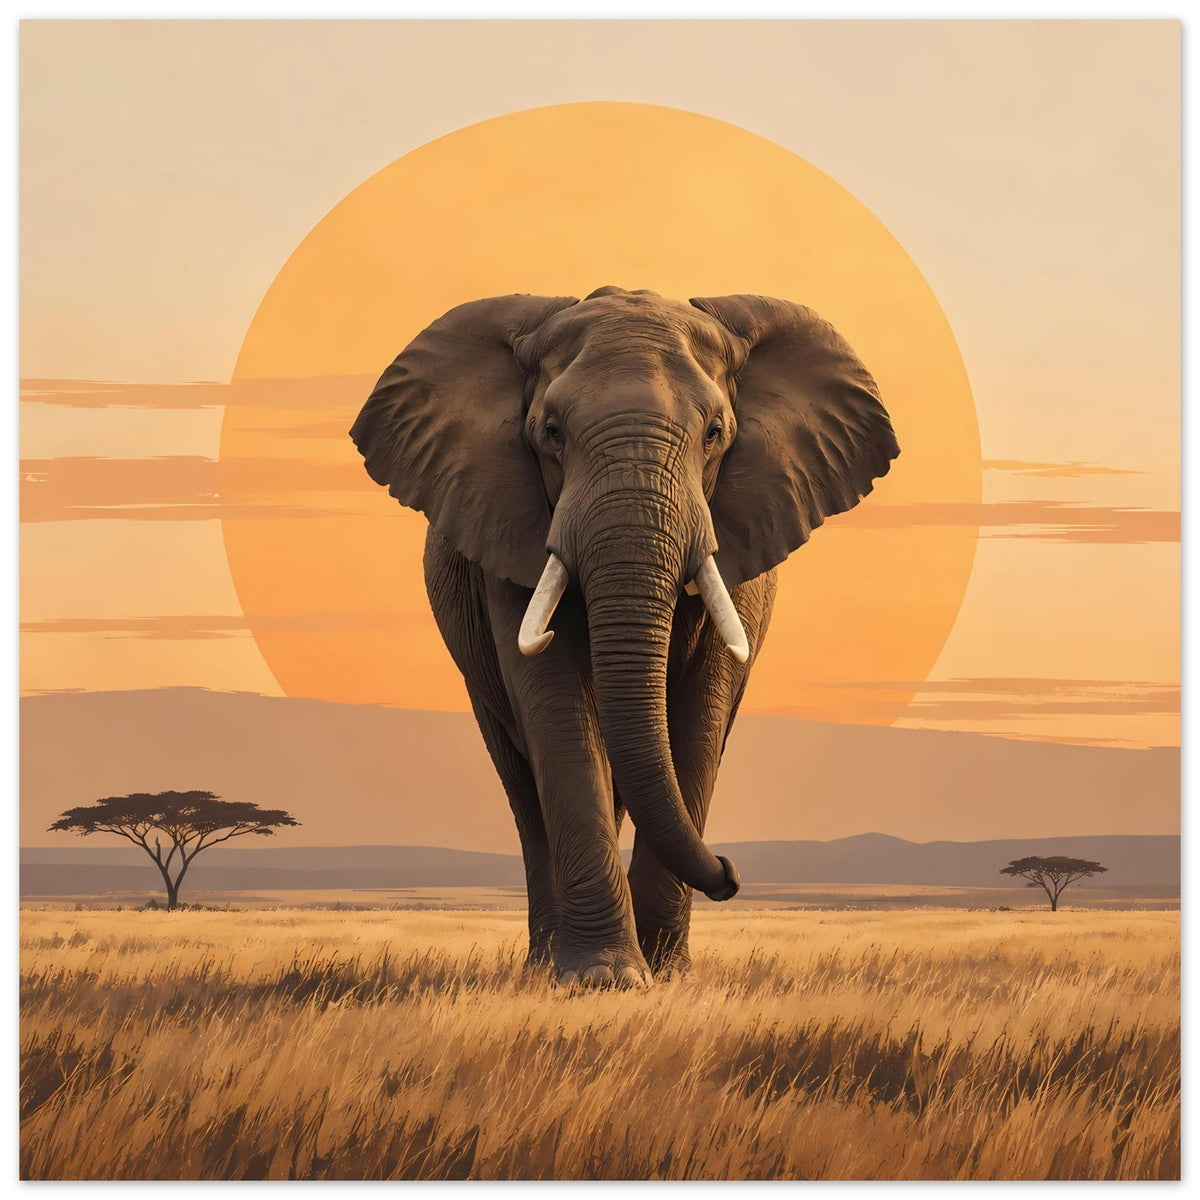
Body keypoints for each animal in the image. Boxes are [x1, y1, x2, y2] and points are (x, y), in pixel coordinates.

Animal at [350, 286, 898, 985]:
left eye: (715, 434)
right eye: (551, 433)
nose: (730, 873)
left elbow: (700, 712)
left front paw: (667, 977)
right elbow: (555, 704)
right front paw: (603, 980)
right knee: (523, 783)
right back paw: (544, 967)